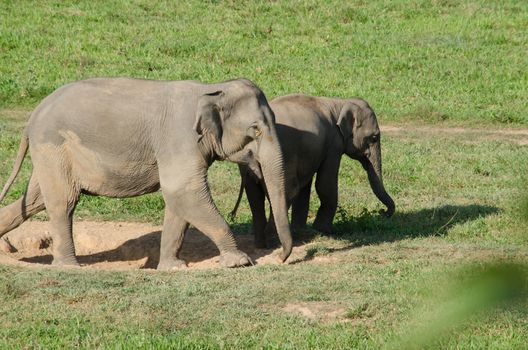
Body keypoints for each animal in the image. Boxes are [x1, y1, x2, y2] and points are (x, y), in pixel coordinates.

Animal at [0, 77, 292, 268]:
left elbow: (179, 203)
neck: (210, 90)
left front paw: (173, 267)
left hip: (51, 154)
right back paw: (69, 267)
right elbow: (184, 192)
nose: (280, 257)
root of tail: (34, 114)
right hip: (54, 146)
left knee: (35, 199)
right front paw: (239, 262)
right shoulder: (179, 139)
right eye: (256, 129)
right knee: (63, 202)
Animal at [233, 93, 394, 246]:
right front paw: (323, 230)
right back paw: (274, 241)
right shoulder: (333, 144)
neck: (340, 103)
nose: (383, 212)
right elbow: (325, 185)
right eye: (374, 137)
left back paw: (261, 243)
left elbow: (305, 187)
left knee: (255, 196)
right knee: (287, 191)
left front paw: (301, 231)